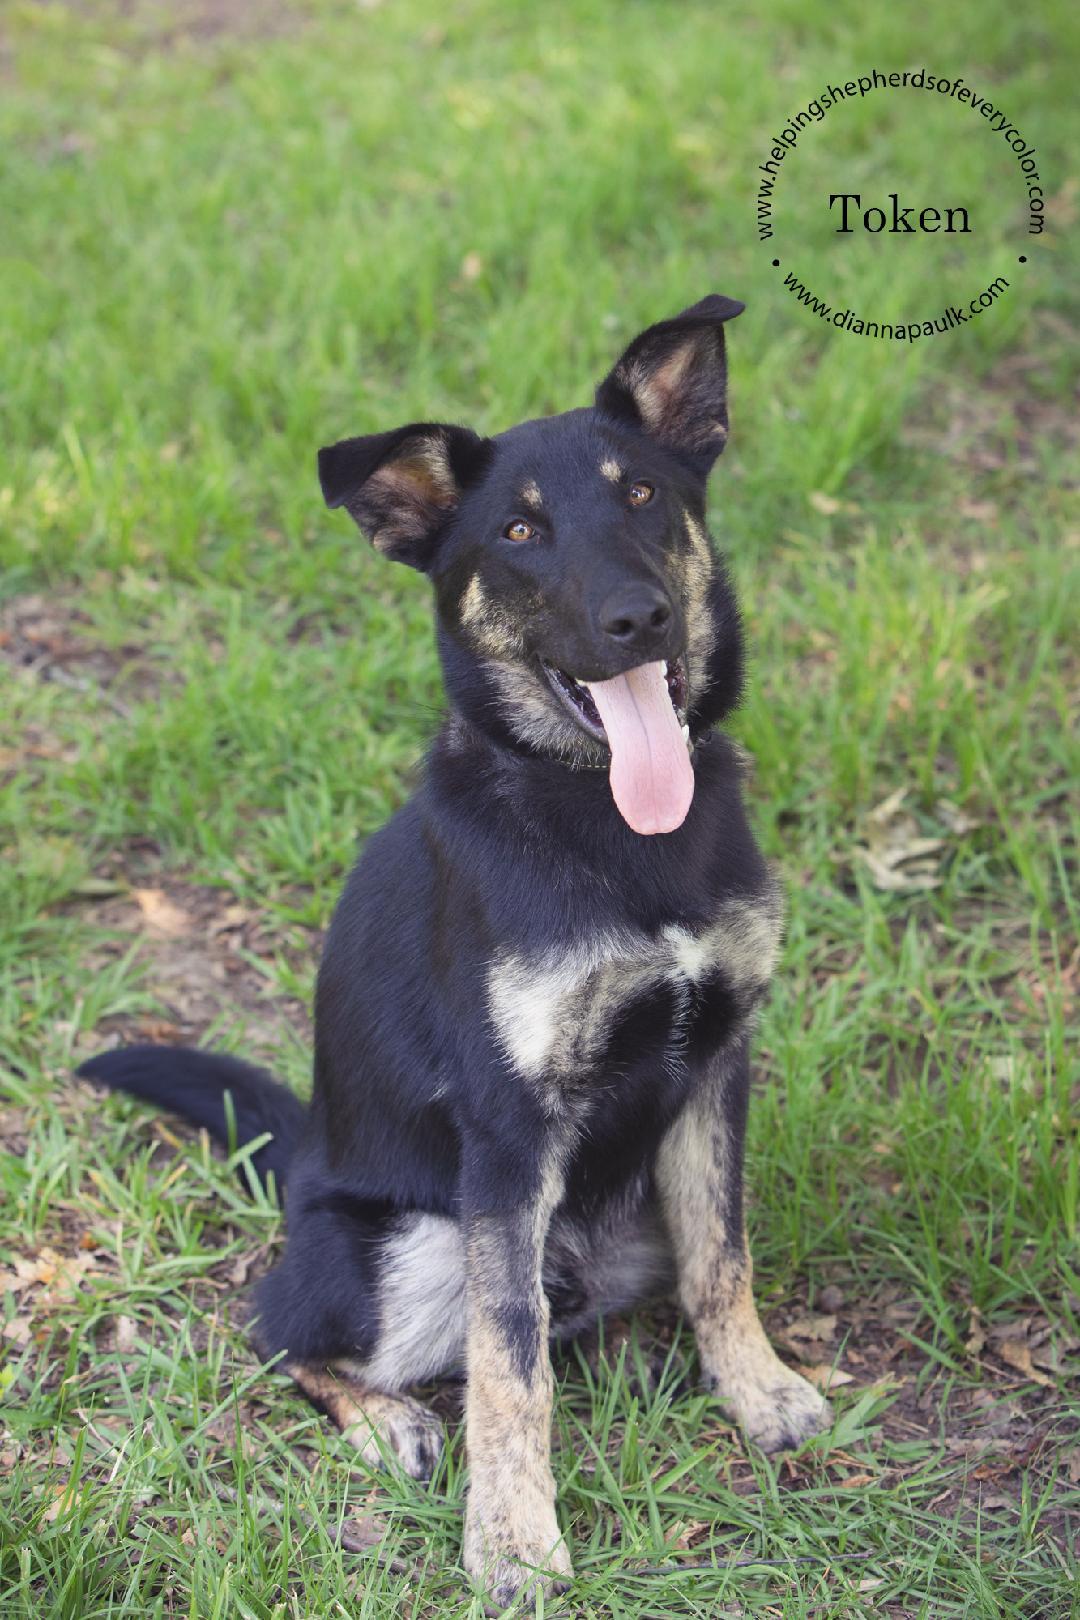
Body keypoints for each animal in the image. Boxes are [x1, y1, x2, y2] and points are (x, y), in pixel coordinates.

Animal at [80, 298, 835, 1600]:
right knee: (283, 1334)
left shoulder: (716, 1067)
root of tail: (300, 1157)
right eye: (520, 531)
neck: (606, 826)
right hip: (410, 1250)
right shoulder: (508, 1132)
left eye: (644, 495)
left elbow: (721, 1258)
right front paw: (516, 1542)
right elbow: (508, 1364)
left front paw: (757, 1390)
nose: (638, 616)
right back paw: (388, 1420)